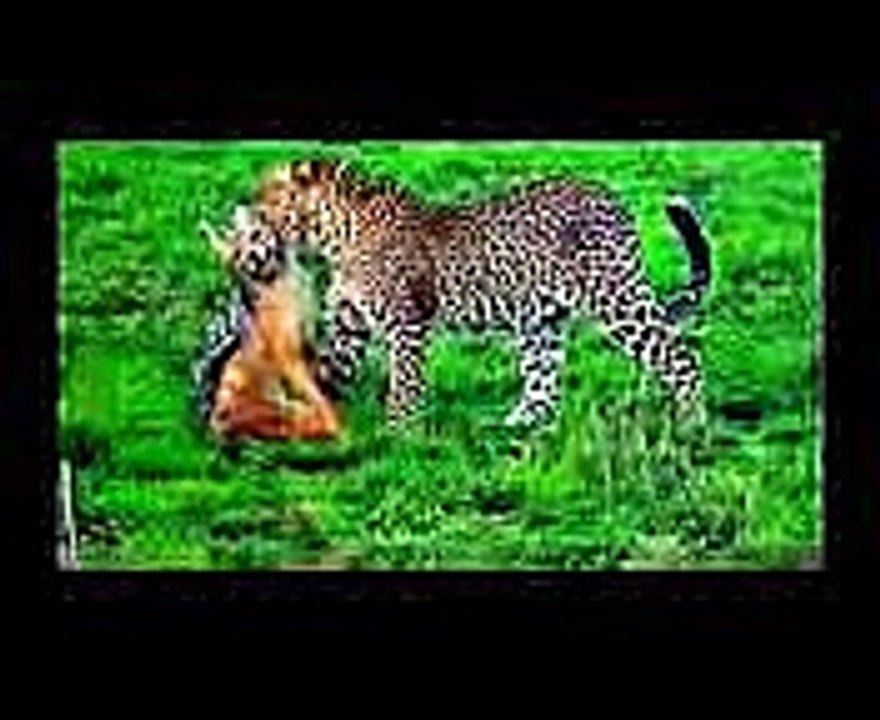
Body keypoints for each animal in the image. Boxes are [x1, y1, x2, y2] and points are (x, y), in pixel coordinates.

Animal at [192, 204, 341, 441]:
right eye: (242, 252)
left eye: (255, 235)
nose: (256, 258)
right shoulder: (286, 349)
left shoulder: (306, 332)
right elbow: (315, 395)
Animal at [248, 158, 712, 428]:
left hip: (616, 297)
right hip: (542, 319)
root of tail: (609, 197)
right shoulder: (350, 320)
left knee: (680, 356)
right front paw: (313, 412)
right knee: (544, 384)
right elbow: (329, 367)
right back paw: (517, 426)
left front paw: (399, 433)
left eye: (267, 197)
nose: (248, 209)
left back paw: (693, 425)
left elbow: (405, 382)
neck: (333, 237)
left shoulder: (407, 322)